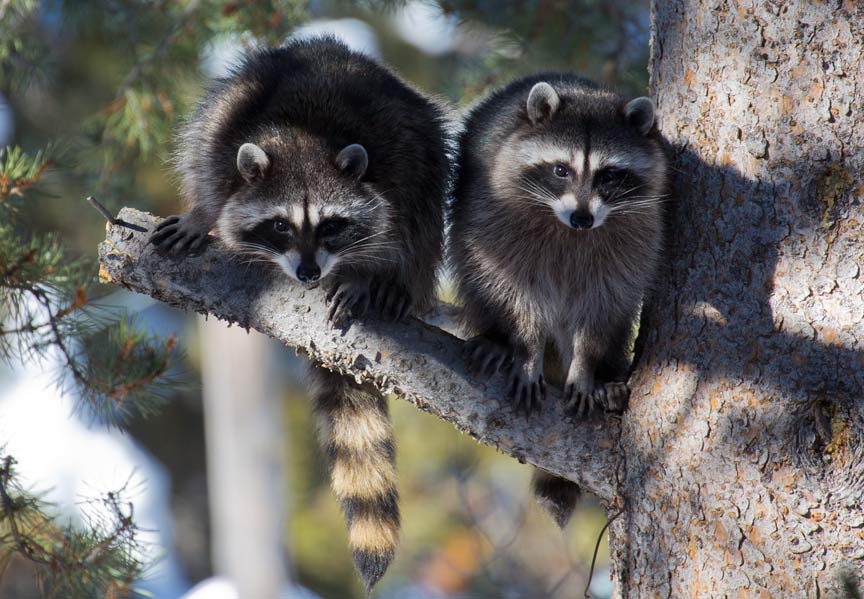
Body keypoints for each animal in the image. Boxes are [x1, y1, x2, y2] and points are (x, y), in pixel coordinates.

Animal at [153, 37, 452, 592]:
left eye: (332, 225)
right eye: (280, 226)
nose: (310, 272)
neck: (302, 138)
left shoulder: (394, 152)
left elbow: (398, 216)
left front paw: (366, 274)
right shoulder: (225, 135)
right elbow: (209, 173)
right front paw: (202, 215)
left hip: (424, 142)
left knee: (424, 213)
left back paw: (398, 282)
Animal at [448, 74, 672, 524]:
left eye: (608, 175)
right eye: (560, 170)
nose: (582, 218)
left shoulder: (637, 233)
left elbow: (606, 301)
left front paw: (587, 365)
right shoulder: (495, 216)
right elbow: (514, 292)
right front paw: (526, 349)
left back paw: (608, 378)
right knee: (476, 275)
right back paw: (496, 339)